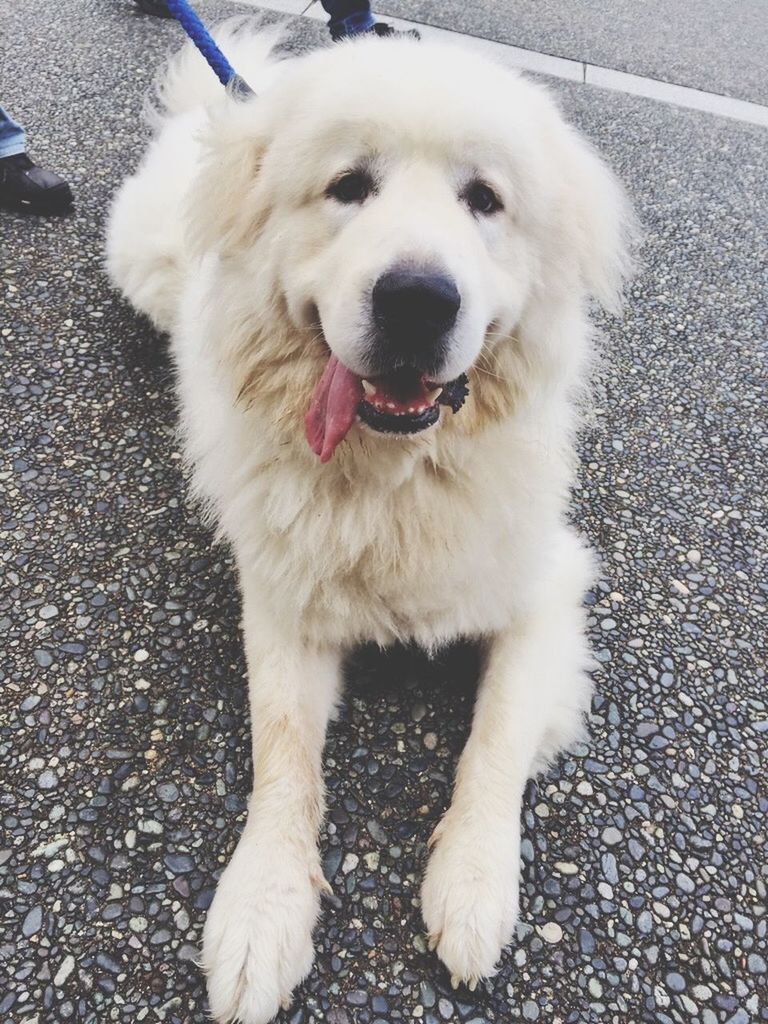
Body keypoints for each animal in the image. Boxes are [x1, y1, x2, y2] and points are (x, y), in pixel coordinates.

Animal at [108, 24, 638, 1024]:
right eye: (349, 185)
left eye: (484, 200)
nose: (418, 299)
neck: (398, 476)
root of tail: (229, 98)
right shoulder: (282, 604)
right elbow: (282, 752)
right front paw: (261, 908)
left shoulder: (543, 594)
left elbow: (495, 739)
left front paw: (473, 887)